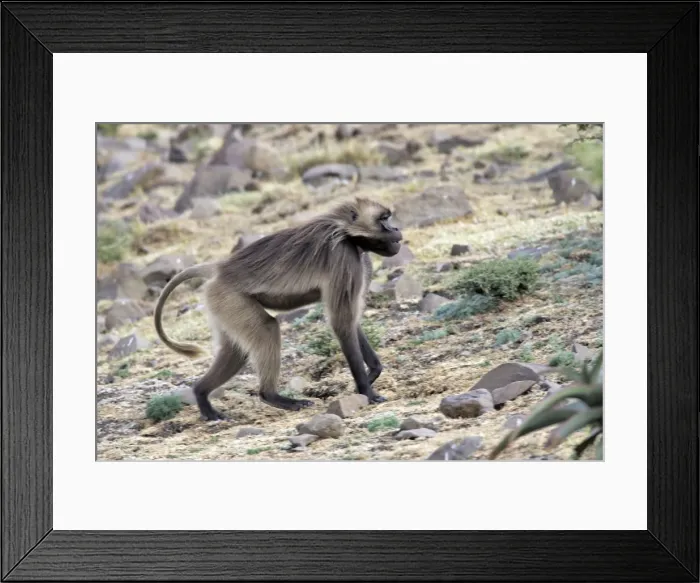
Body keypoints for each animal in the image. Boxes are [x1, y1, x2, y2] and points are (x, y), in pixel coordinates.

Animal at [154, 197, 403, 421]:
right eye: (384, 219)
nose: (397, 229)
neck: (345, 232)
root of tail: (220, 267)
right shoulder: (344, 258)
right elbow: (342, 323)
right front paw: (367, 391)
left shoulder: (361, 260)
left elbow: (350, 322)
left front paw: (373, 372)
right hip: (230, 298)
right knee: (267, 328)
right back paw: (274, 397)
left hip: (221, 305)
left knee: (235, 350)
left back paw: (202, 396)